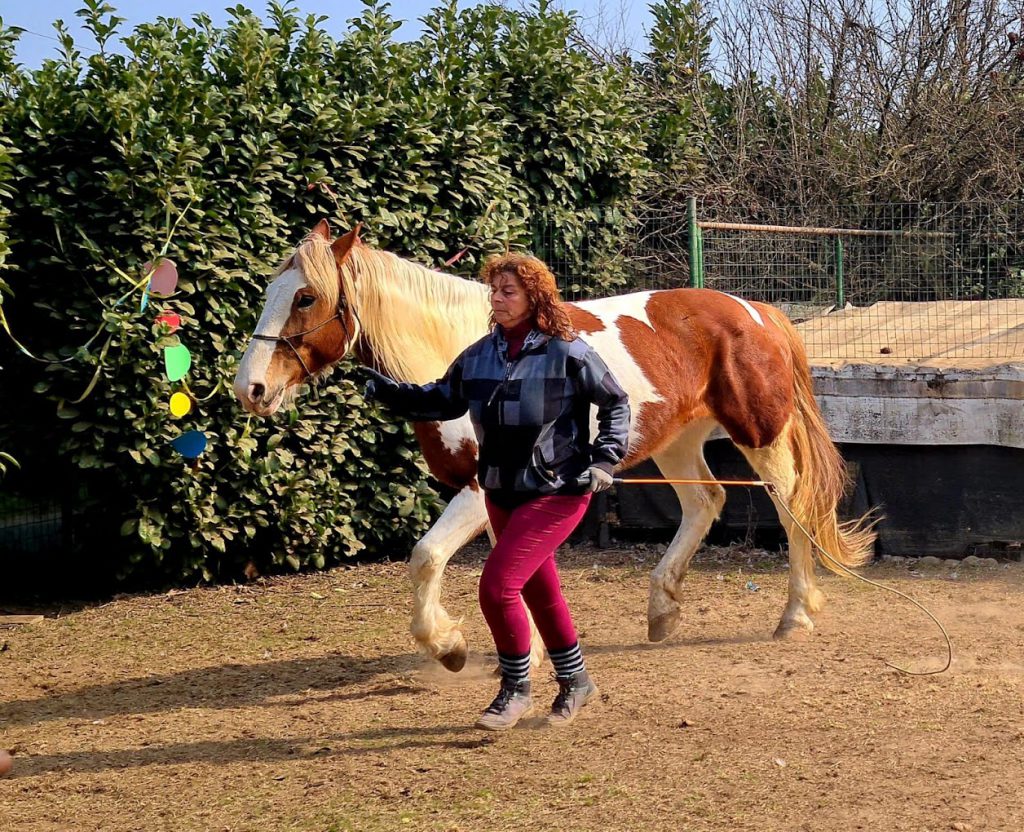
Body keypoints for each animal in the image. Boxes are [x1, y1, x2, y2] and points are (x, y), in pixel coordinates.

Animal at [234, 219, 880, 668]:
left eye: (306, 297)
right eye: (270, 291)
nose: (251, 388)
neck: (466, 354)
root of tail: (760, 311)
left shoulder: (478, 490)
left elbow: (427, 557)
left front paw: (449, 646)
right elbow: (504, 567)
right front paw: (517, 648)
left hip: (758, 437)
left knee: (792, 510)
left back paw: (795, 616)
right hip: (675, 440)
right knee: (707, 503)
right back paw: (662, 610)